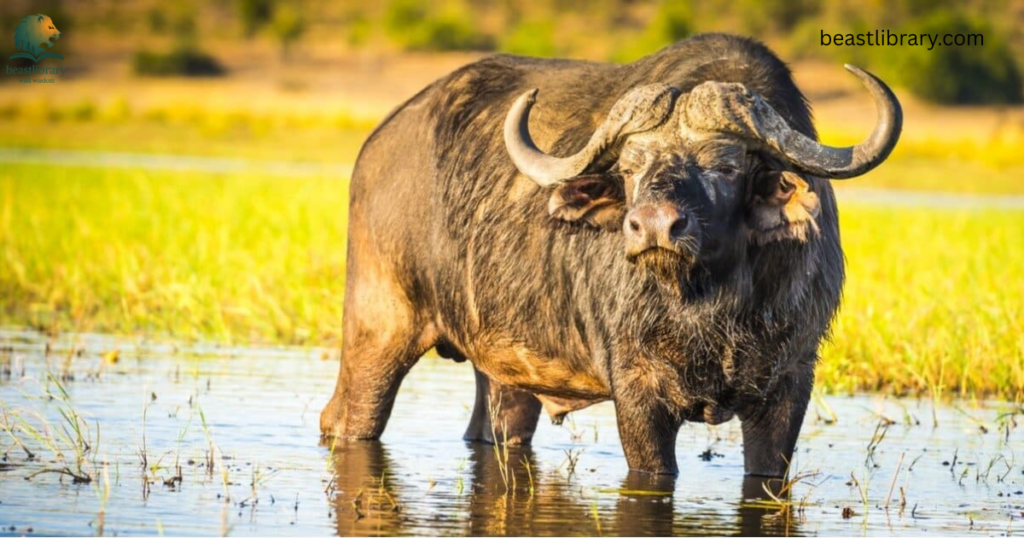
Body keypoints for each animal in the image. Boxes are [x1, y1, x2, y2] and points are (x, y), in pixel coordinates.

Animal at [320, 33, 902, 476]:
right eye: (628, 167)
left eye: (726, 166)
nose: (653, 226)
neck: (710, 305)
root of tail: (380, 142)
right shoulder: (638, 392)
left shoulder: (788, 387)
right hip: (378, 330)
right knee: (344, 418)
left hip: (503, 372)